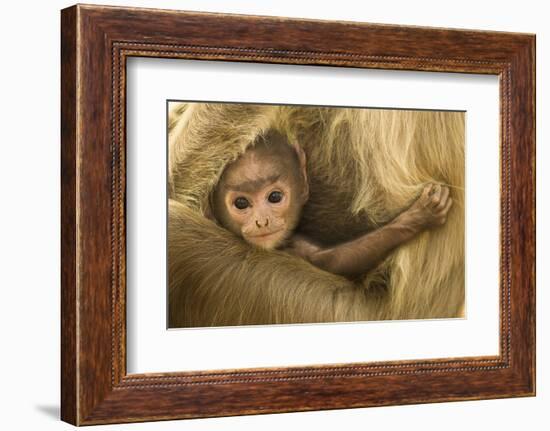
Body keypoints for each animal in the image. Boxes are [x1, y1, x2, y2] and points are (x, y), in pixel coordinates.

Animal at [211, 130, 452, 278]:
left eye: (275, 197)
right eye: (241, 202)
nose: (262, 221)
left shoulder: (297, 244)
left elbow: (330, 260)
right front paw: (416, 218)